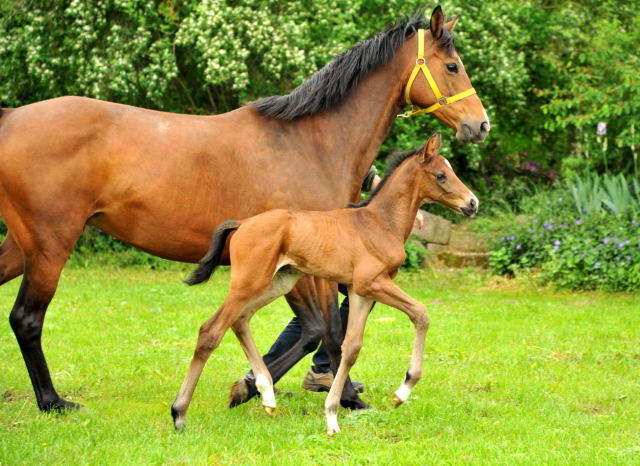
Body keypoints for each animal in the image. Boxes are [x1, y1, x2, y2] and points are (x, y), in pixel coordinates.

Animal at [172, 133, 478, 436]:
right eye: (440, 175)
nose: (472, 203)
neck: (380, 223)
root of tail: (242, 223)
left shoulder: (360, 292)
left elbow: (351, 346)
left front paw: (332, 412)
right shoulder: (372, 283)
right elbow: (420, 313)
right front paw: (401, 392)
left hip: (278, 282)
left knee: (240, 320)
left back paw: (266, 395)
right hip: (249, 282)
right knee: (211, 331)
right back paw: (179, 414)